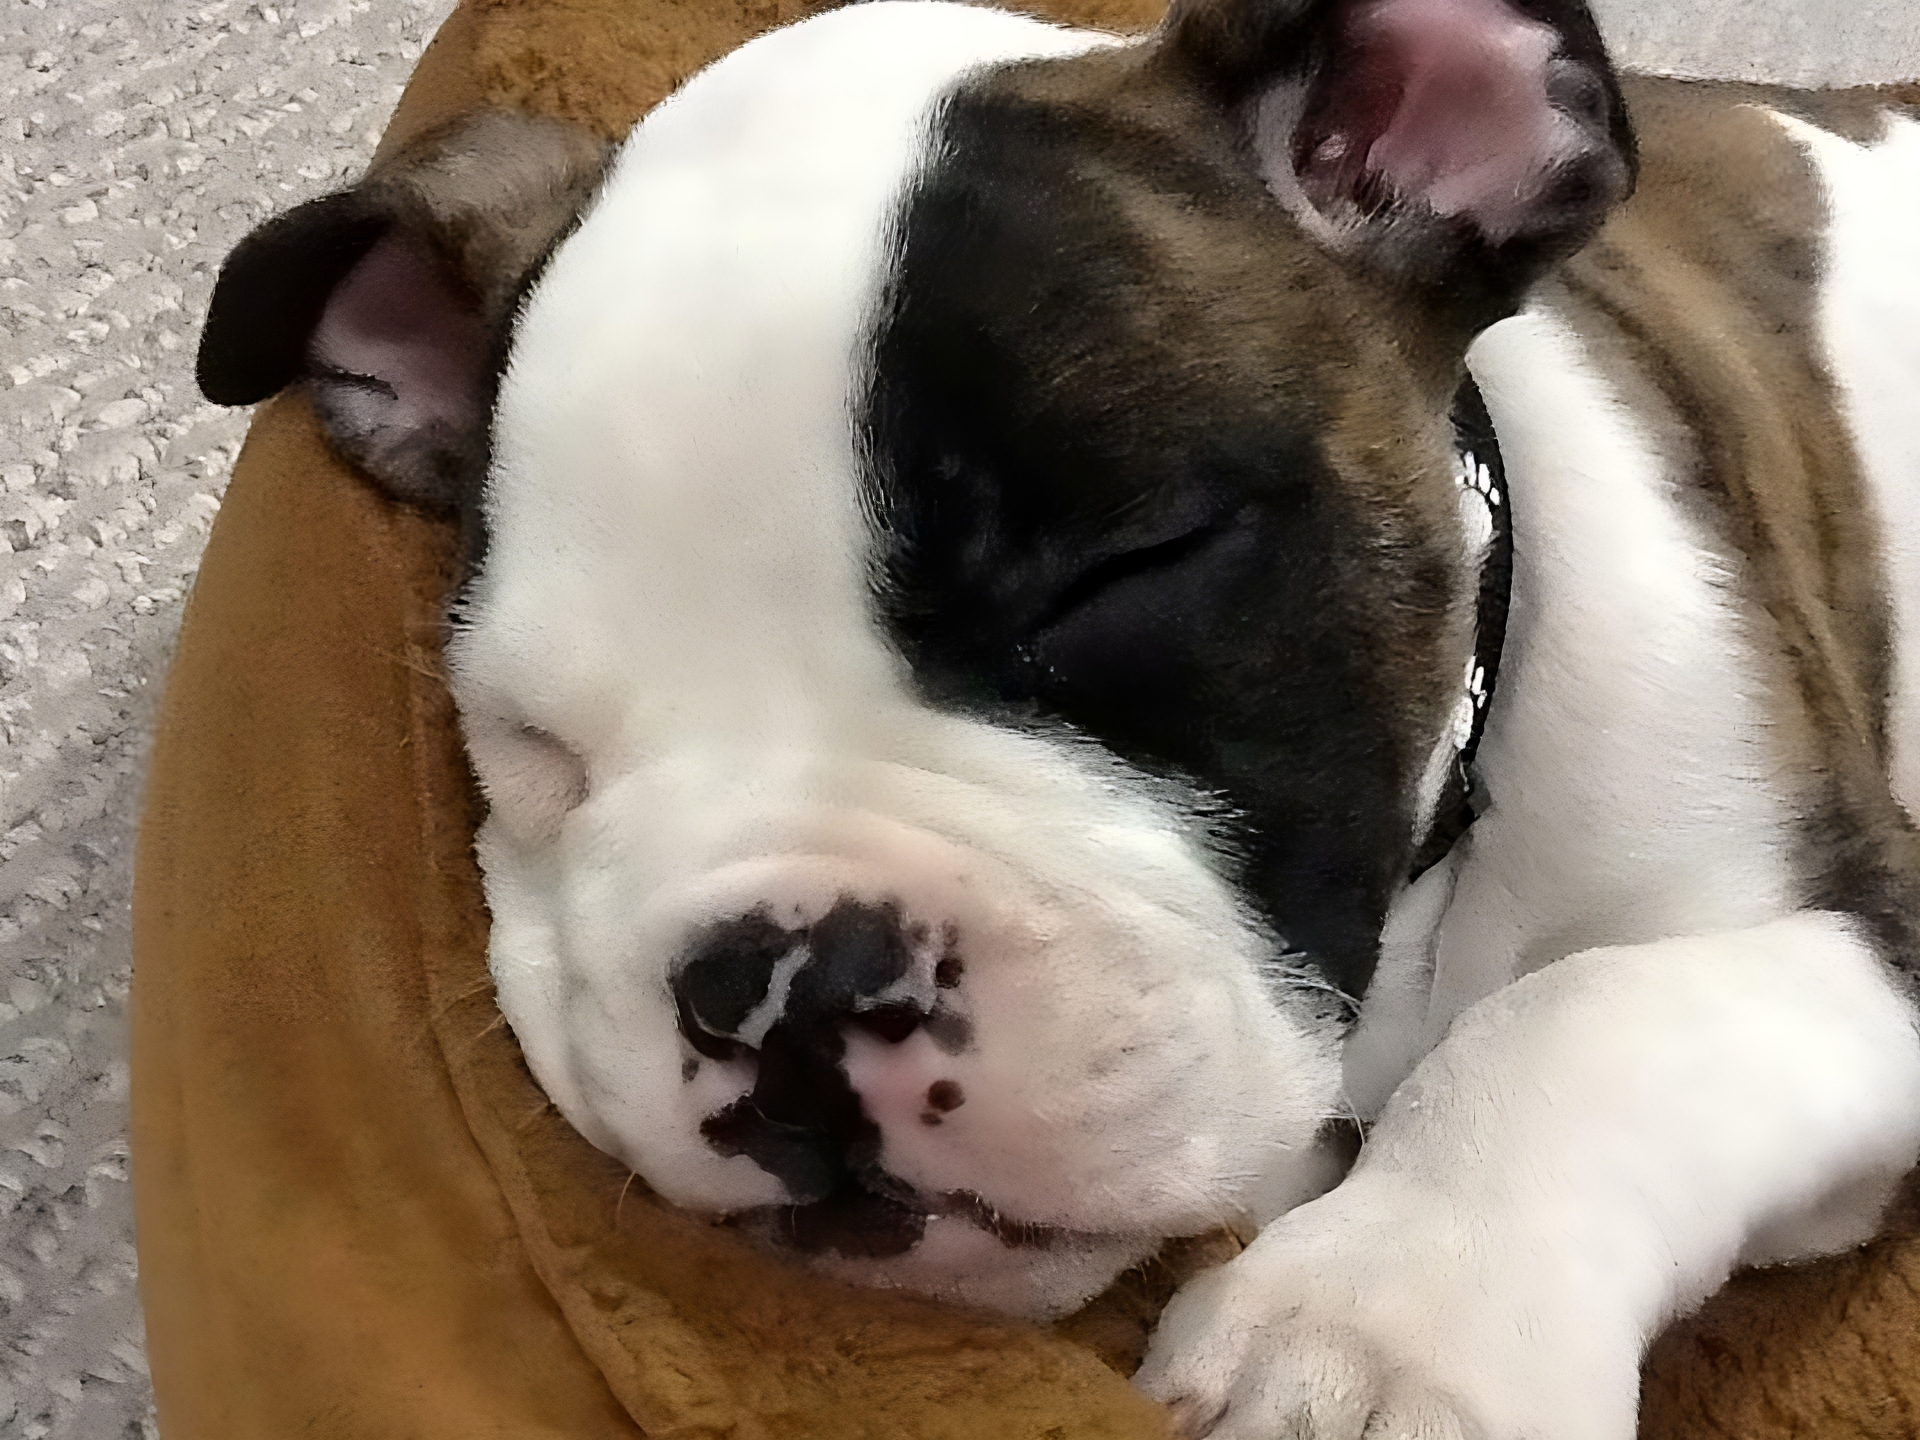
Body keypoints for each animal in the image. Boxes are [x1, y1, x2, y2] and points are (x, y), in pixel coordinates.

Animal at [194, 2, 1920, 1436]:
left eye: (1120, 572)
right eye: (534, 748)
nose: (787, 986)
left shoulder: (1864, 926)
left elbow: (1586, 1018)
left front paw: (1376, 1335)